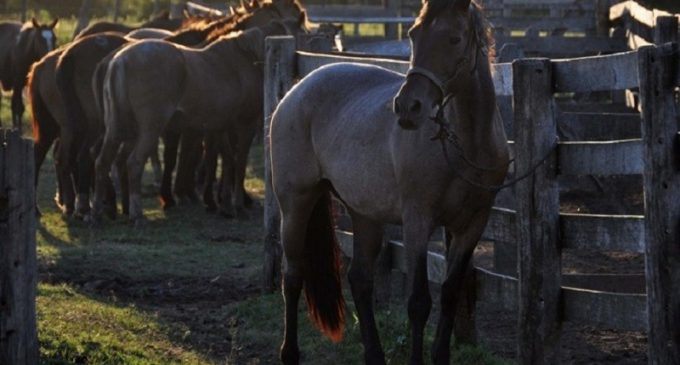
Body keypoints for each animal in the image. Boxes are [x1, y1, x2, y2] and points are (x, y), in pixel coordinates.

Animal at [89, 15, 306, 226]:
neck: (245, 58)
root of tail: (118, 61)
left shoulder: (220, 127)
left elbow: (226, 161)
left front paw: (225, 206)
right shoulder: (245, 125)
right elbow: (239, 162)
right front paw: (237, 206)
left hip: (119, 130)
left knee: (102, 162)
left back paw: (98, 213)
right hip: (150, 129)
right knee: (134, 163)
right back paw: (136, 215)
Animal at [268, 0, 508, 364]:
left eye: (454, 38)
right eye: (413, 35)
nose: (408, 106)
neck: (466, 144)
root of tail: (297, 89)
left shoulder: (472, 225)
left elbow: (451, 293)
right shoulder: (418, 221)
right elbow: (419, 303)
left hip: (364, 214)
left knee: (360, 280)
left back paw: (374, 355)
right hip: (296, 204)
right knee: (293, 276)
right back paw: (290, 353)